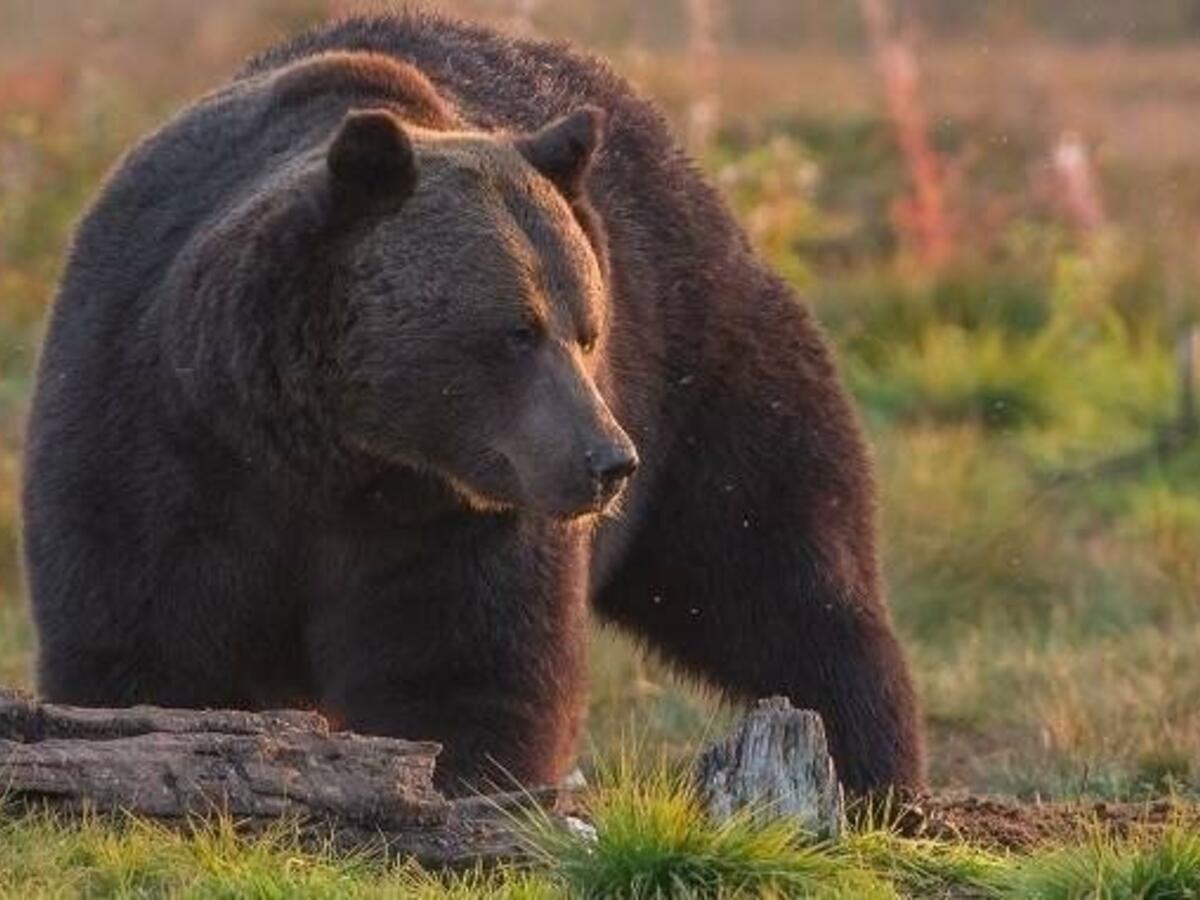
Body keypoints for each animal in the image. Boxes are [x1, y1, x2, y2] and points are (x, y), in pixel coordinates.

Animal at [23, 10, 926, 792]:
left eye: (587, 328)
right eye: (517, 330)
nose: (608, 462)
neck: (331, 457)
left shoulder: (452, 517)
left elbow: (462, 664)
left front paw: (460, 781)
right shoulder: (160, 448)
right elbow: (146, 644)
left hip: (701, 362)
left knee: (782, 565)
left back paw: (878, 771)